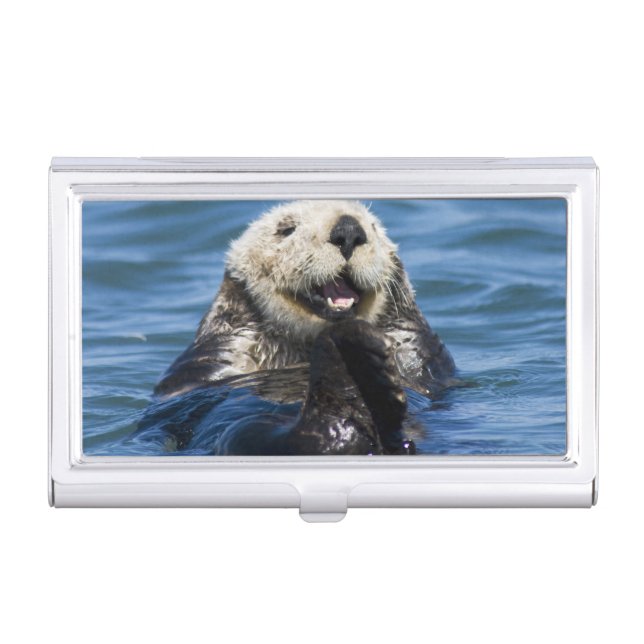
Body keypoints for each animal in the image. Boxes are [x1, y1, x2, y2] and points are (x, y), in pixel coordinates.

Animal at [143, 200, 455, 455]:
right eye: (286, 229)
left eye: (373, 227)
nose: (349, 231)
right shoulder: (225, 349)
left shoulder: (415, 347)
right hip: (245, 433)